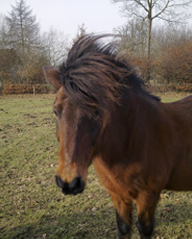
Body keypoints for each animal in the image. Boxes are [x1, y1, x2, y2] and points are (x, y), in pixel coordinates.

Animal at [43, 34, 192, 238]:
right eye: (55, 111)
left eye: (97, 111)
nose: (69, 182)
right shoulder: (118, 195)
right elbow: (123, 227)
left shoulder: (148, 195)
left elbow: (144, 229)